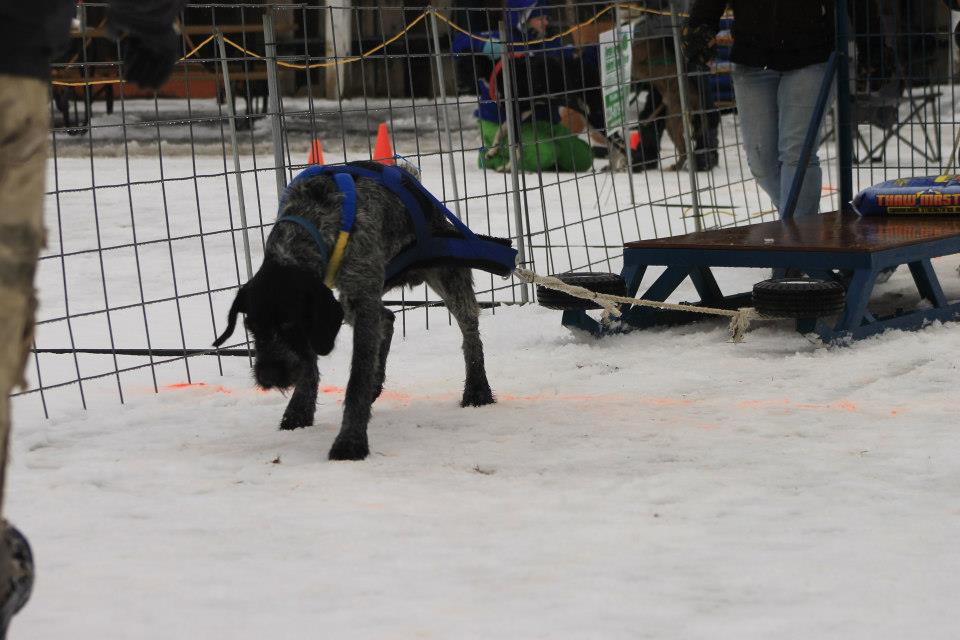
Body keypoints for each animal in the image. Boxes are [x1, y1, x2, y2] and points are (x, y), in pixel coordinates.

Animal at [213, 160, 498, 460]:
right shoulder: (334, 310)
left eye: (288, 323)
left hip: (445, 276)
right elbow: (311, 361)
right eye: (251, 327)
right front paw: (299, 410)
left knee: (470, 333)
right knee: (387, 318)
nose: (268, 376)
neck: (313, 217)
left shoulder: (357, 300)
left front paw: (350, 442)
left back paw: (477, 390)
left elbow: (357, 380)